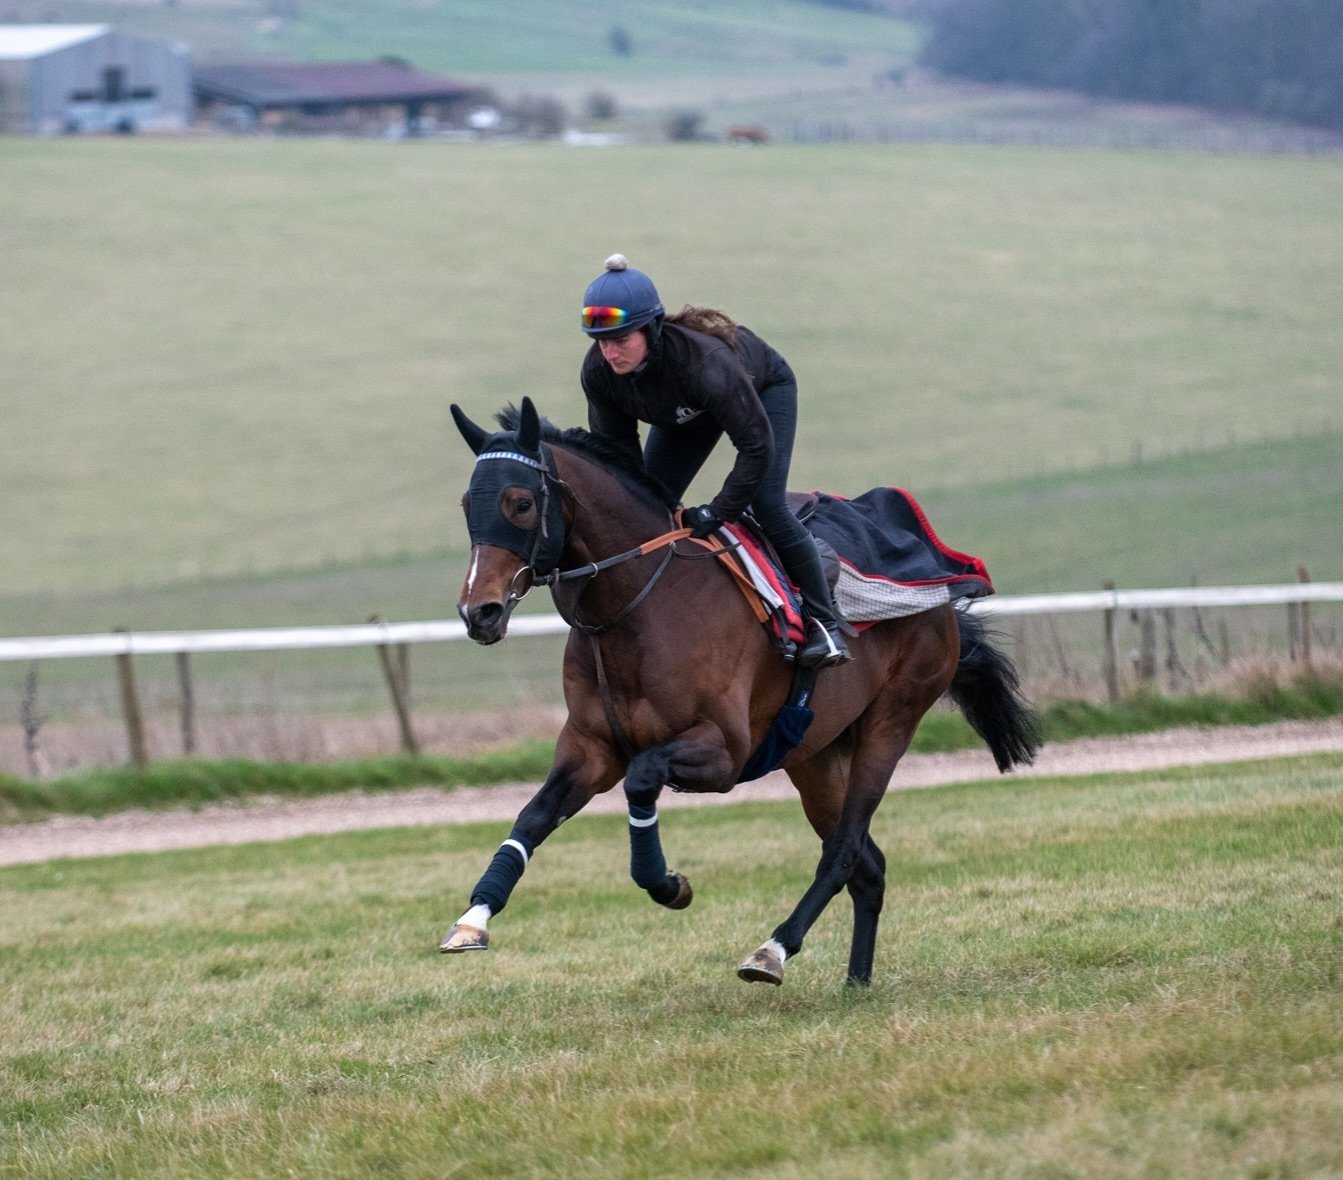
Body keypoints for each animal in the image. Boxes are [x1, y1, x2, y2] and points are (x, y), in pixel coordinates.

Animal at [440, 397, 1036, 988]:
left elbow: (641, 779)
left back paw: (773, 950)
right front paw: (473, 919)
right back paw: (856, 981)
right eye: (468, 503)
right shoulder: (591, 746)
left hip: (891, 722)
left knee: (844, 850)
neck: (635, 608)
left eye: (520, 502)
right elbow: (533, 816)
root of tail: (946, 602)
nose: (479, 612)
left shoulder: (724, 751)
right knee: (869, 865)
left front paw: (668, 884)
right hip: (815, 756)